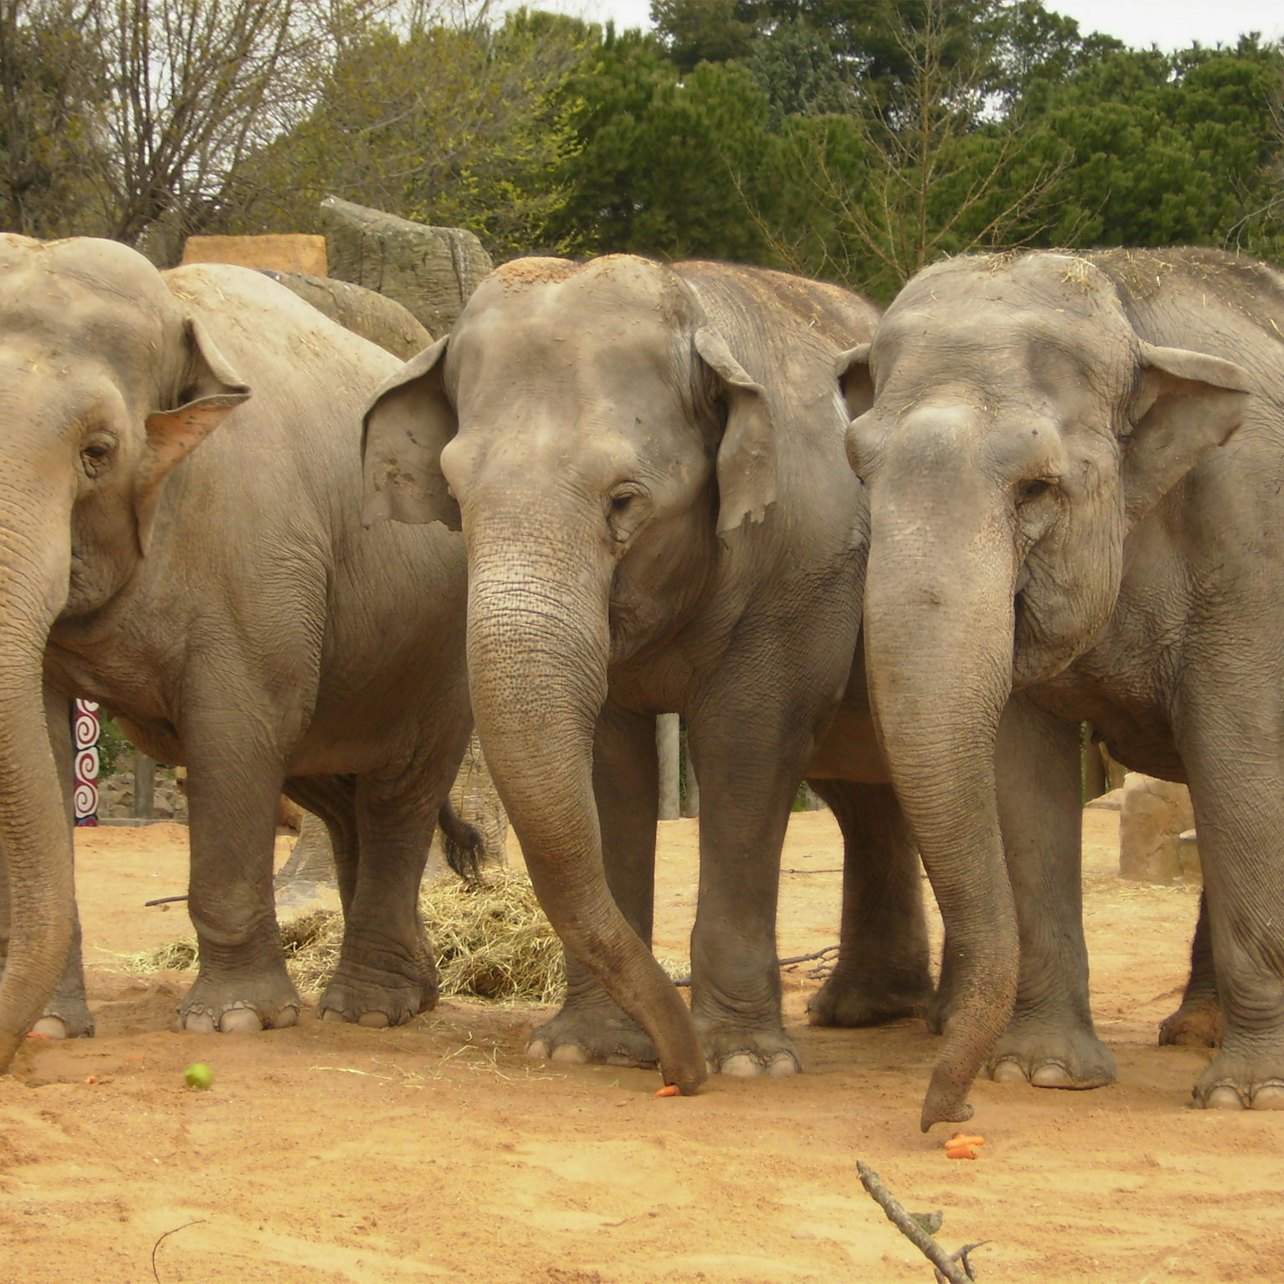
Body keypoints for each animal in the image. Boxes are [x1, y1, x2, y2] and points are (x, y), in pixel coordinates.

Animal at [0, 233, 475, 1073]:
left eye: (98, 452)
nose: (11, 1042)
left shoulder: (257, 563)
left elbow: (235, 732)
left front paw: (237, 1022)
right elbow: (49, 743)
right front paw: (52, 1028)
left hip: (440, 654)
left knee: (398, 792)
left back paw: (370, 1012)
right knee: (338, 794)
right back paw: (411, 994)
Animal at [842, 247, 1284, 1114]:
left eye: (1037, 488)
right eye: (860, 471)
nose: (949, 1111)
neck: (1123, 301)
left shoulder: (1253, 545)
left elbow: (1242, 762)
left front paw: (1250, 1096)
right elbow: (1021, 778)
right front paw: (1041, 1073)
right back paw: (1194, 1031)